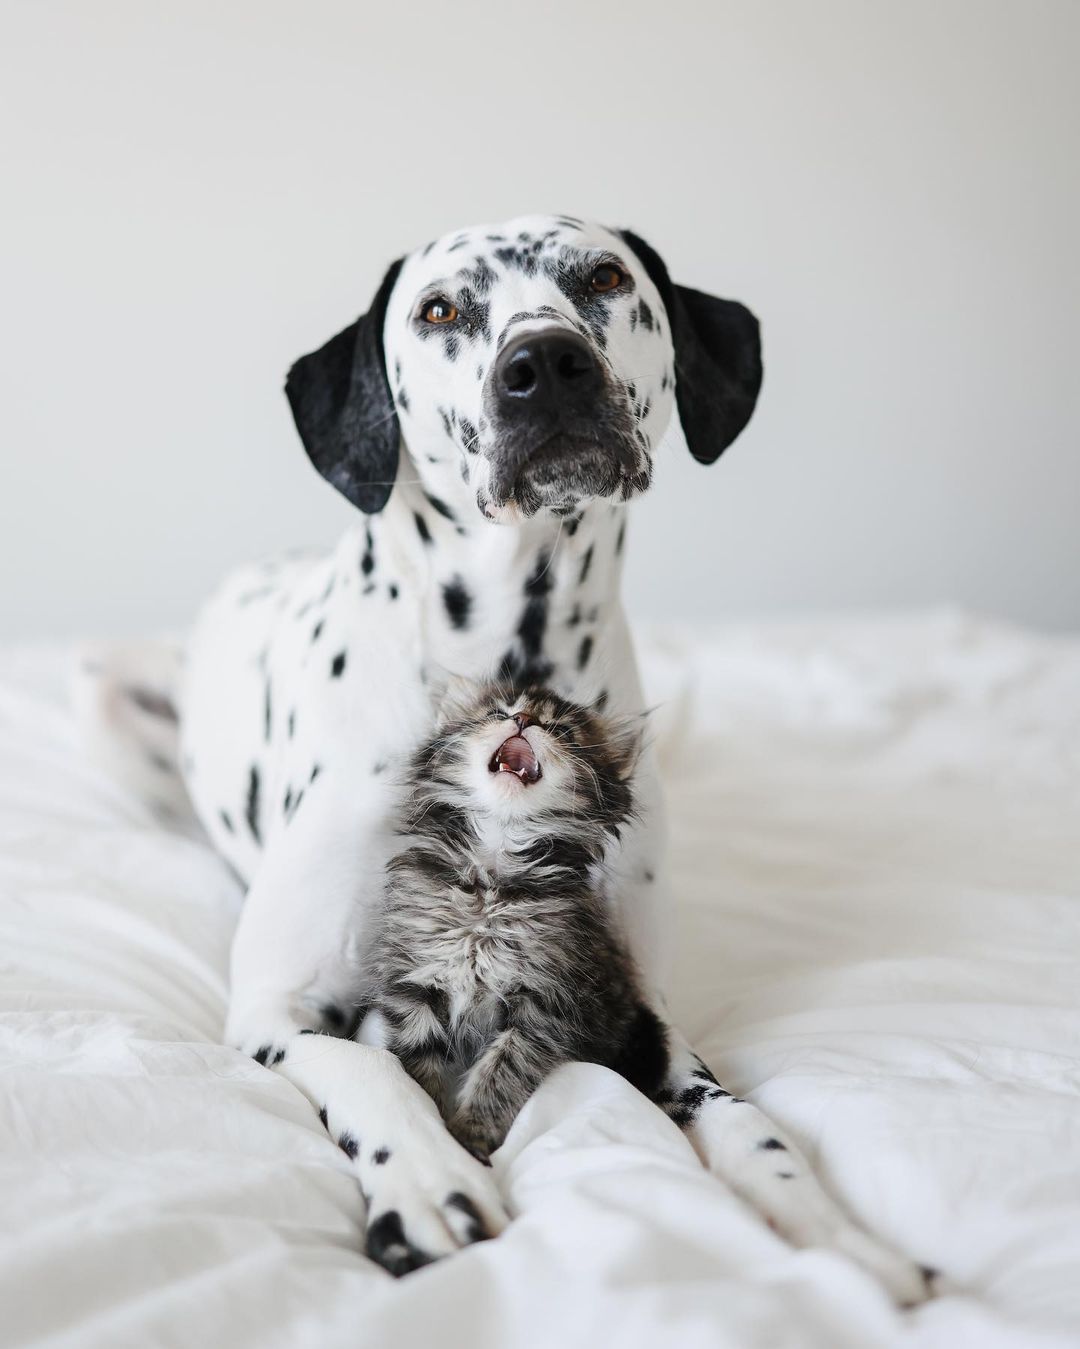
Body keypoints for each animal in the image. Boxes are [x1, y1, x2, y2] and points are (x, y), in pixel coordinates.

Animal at [372, 685, 674, 1160]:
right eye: (499, 712)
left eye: (561, 730)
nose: (524, 720)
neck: (491, 876)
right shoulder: (416, 979)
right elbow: (418, 1064)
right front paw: (430, 1123)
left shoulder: (544, 1005)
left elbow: (502, 1071)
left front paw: (471, 1135)